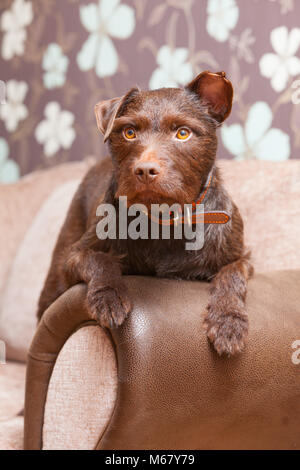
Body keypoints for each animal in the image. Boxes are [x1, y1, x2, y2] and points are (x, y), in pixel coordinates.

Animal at [37, 70, 253, 356]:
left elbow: (231, 275)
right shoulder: (74, 256)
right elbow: (100, 260)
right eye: (129, 132)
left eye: (183, 133)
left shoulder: (241, 257)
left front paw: (229, 322)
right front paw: (109, 297)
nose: (145, 170)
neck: (163, 219)